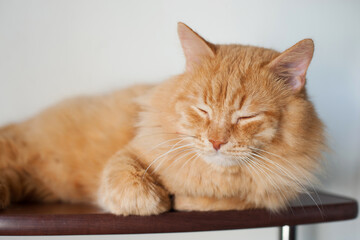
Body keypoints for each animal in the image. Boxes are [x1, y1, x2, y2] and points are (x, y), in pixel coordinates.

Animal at [0, 23, 324, 216]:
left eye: (246, 116)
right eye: (202, 110)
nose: (216, 142)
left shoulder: (271, 192)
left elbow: (232, 199)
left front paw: (186, 200)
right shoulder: (130, 153)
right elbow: (129, 180)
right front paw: (157, 200)